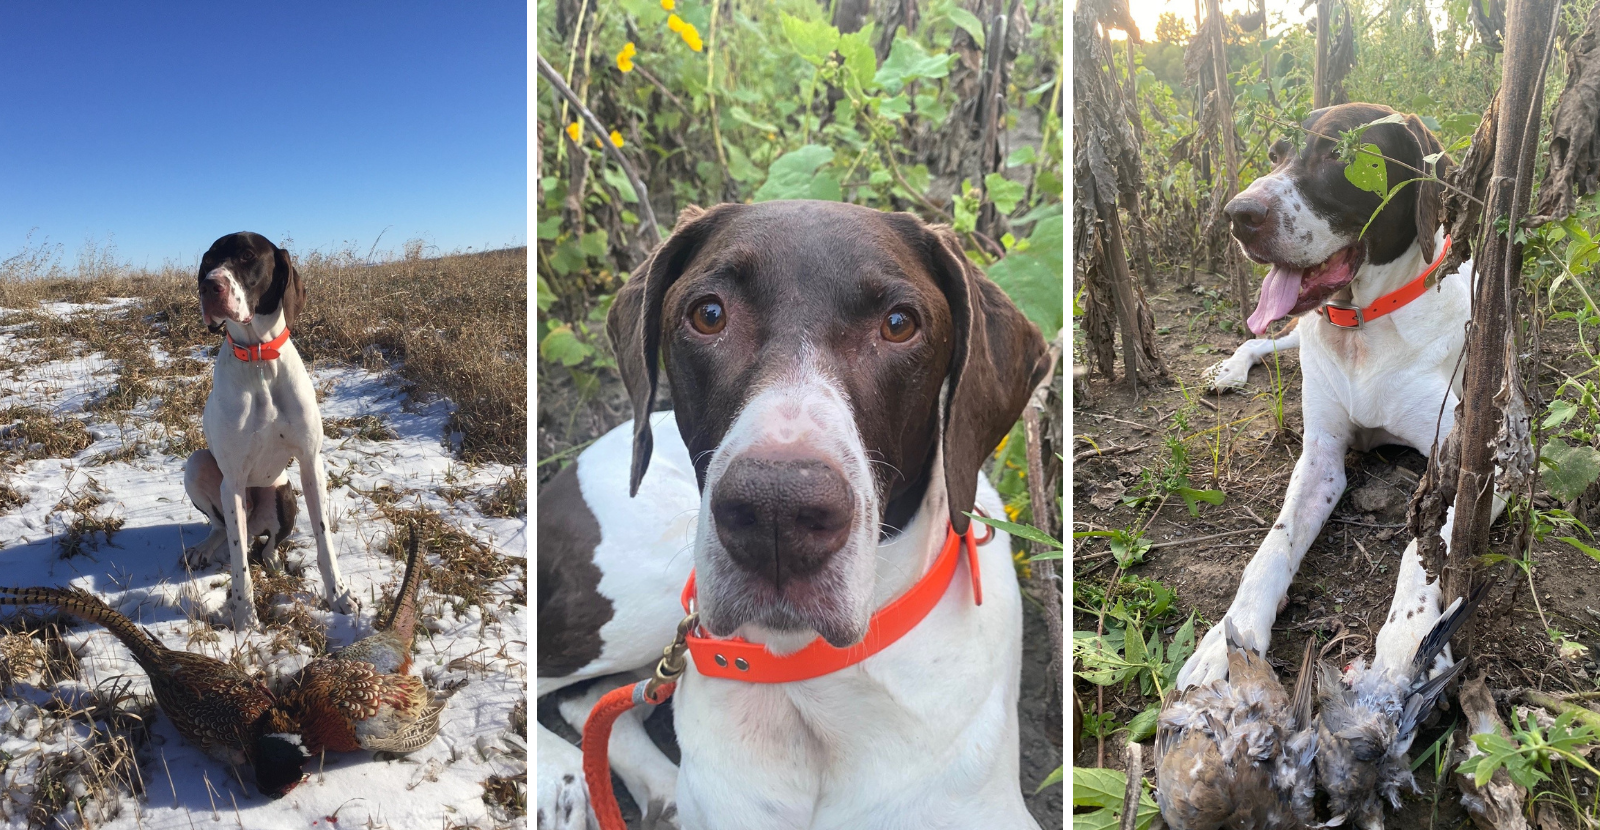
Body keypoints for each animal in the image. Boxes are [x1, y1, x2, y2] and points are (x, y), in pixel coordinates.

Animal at [185, 231, 355, 630]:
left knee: (268, 545)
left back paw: (275, 560)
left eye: (248, 256)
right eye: (207, 261)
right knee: (225, 531)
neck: (259, 359)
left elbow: (323, 539)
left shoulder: (310, 463)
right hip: (197, 466)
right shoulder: (231, 482)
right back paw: (205, 548)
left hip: (284, 493)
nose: (208, 286)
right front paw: (245, 616)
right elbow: (238, 563)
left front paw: (338, 596)